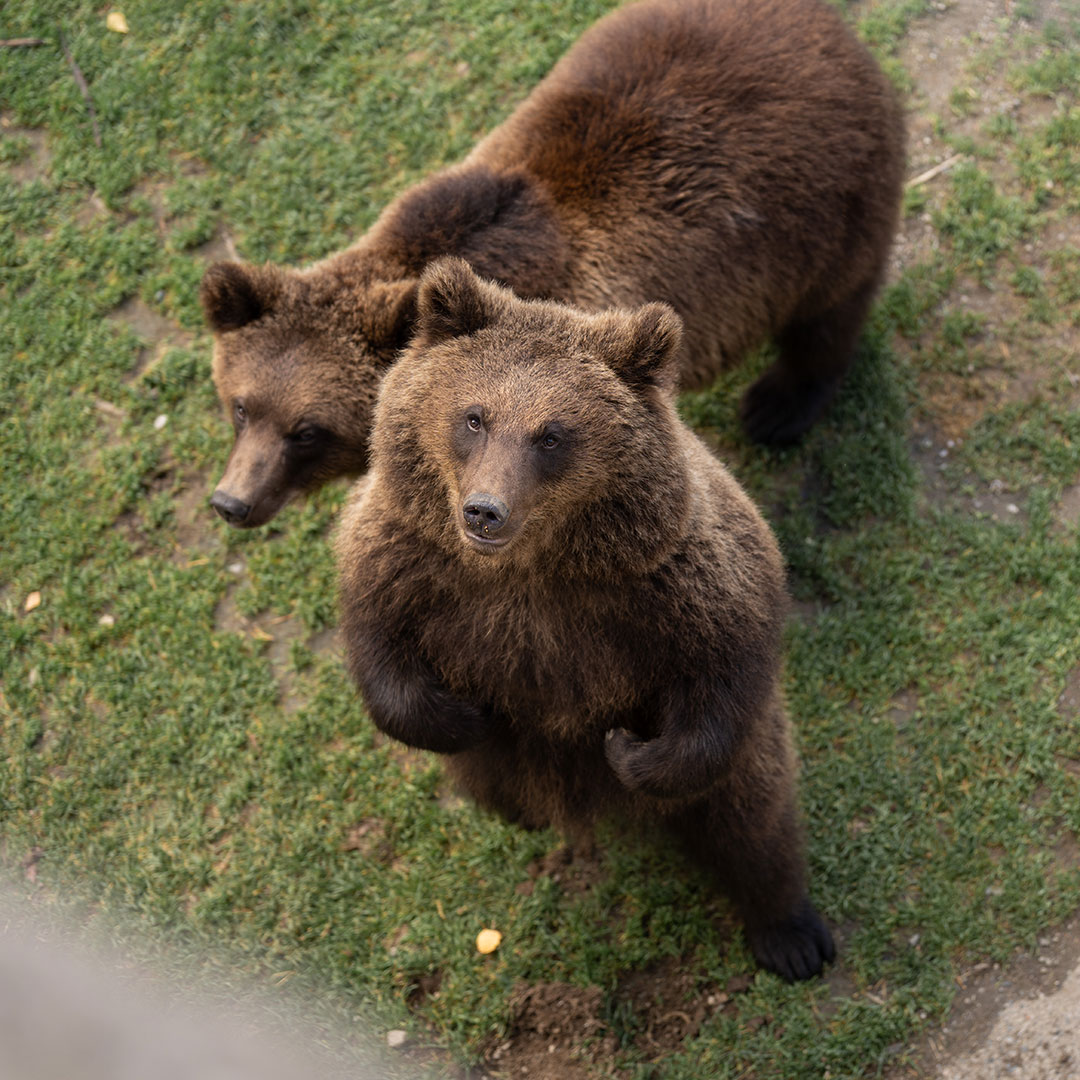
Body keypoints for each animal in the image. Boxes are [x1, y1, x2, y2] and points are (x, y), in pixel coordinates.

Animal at [201, 0, 905, 528]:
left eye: (308, 431)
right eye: (241, 407)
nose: (232, 503)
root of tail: (825, 22)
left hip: (822, 212)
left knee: (829, 314)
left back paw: (776, 407)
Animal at [335, 257, 836, 982]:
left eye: (551, 434)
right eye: (474, 416)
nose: (485, 511)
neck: (531, 569)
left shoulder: (672, 585)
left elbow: (727, 668)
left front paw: (631, 749)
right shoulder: (408, 560)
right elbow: (379, 646)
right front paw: (463, 713)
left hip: (742, 766)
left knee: (754, 821)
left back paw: (790, 935)